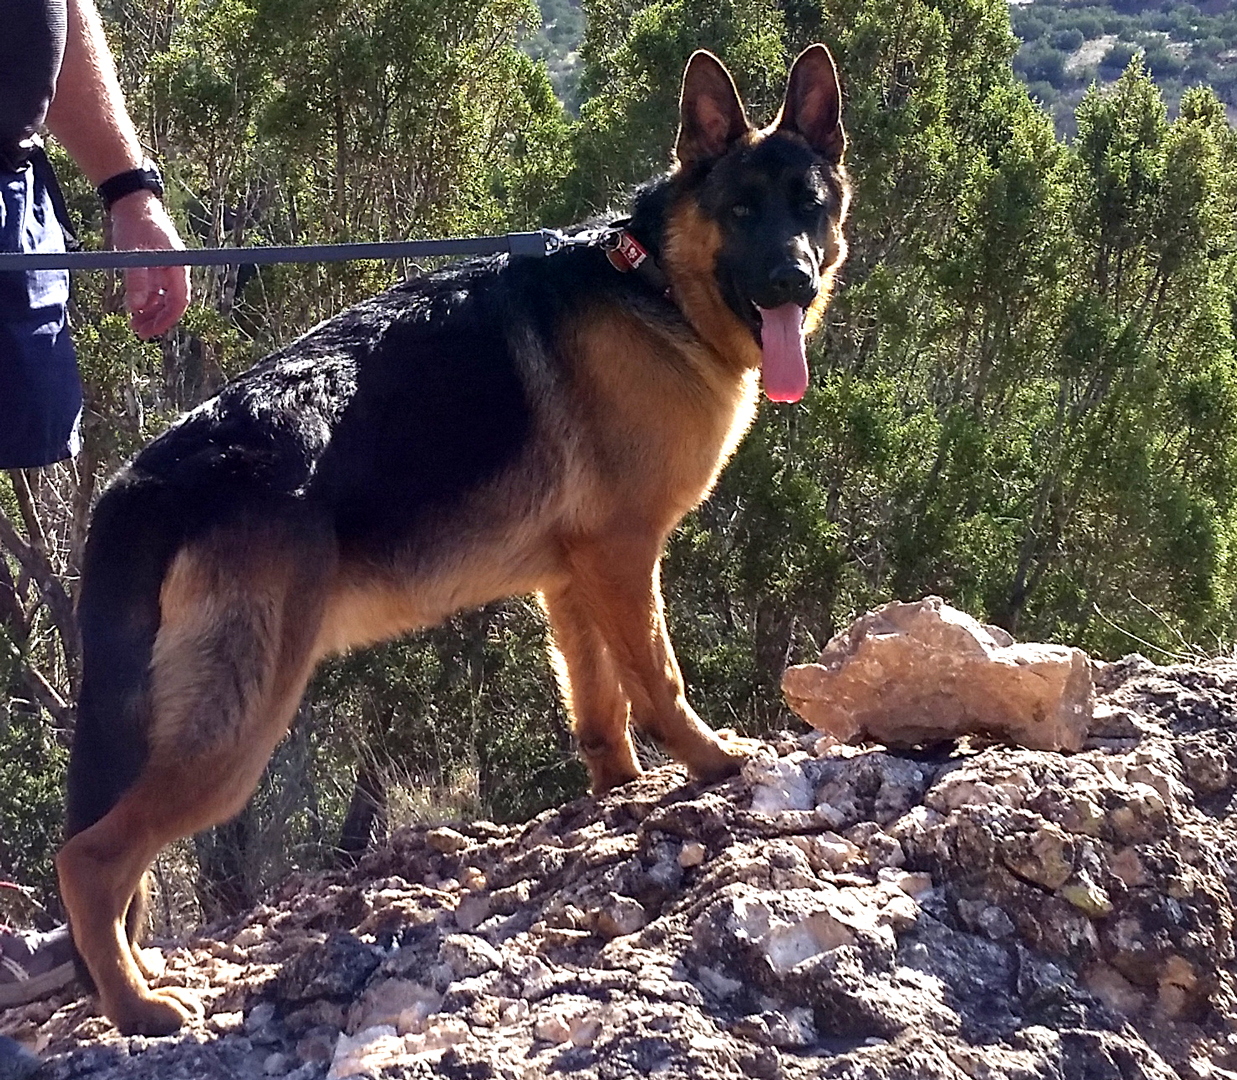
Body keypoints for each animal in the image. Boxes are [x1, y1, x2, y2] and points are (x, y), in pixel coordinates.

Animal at [58, 44, 851, 1034]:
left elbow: (601, 712)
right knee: (89, 859)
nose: (792, 283)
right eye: (741, 210)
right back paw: (135, 1006)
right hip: (236, 729)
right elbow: (660, 681)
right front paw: (712, 763)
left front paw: (618, 798)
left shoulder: (574, 580)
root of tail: (145, 478)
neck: (653, 280)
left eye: (806, 205)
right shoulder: (625, 558)